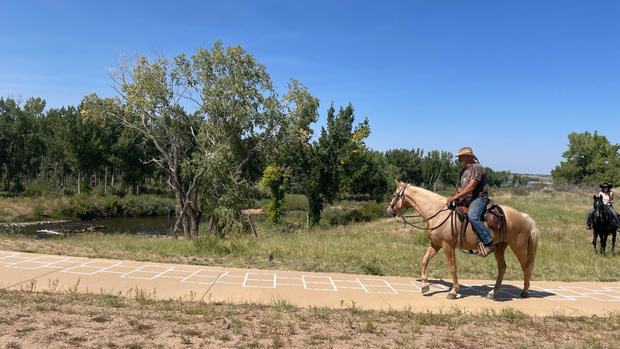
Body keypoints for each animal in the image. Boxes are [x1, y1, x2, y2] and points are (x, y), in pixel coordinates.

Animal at [386, 181, 540, 298]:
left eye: (394, 195)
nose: (389, 211)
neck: (437, 212)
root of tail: (524, 216)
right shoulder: (435, 244)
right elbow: (424, 261)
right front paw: (425, 286)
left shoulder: (447, 246)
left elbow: (453, 267)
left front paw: (454, 291)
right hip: (500, 247)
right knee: (502, 267)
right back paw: (493, 292)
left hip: (518, 246)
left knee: (526, 265)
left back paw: (525, 291)